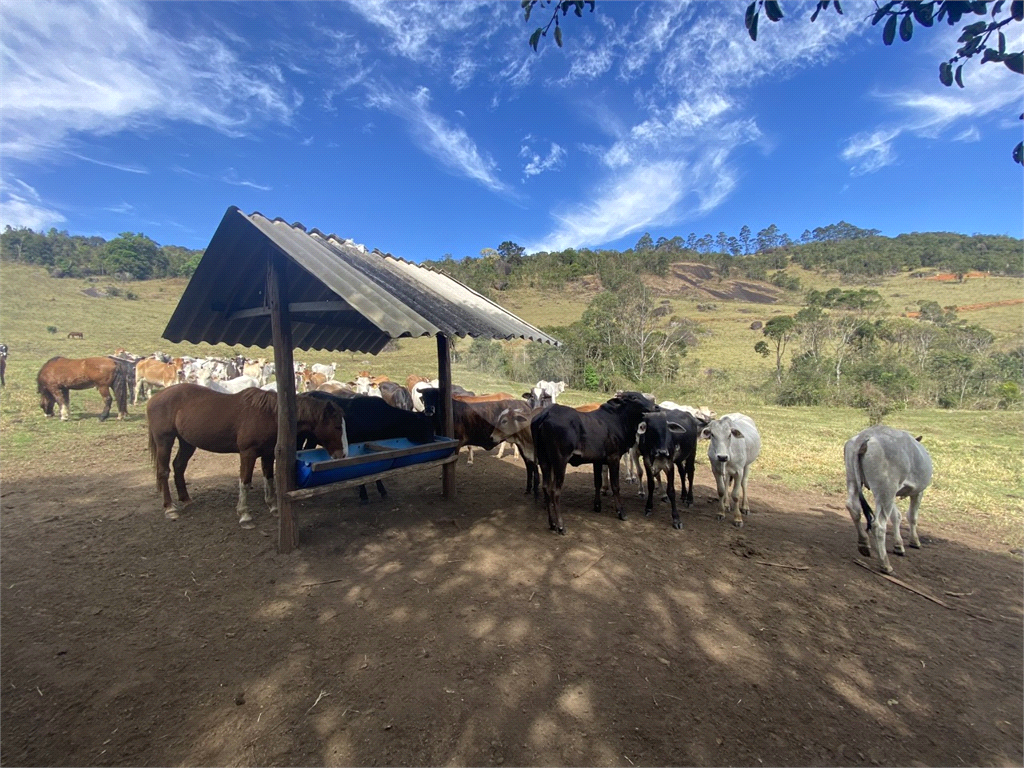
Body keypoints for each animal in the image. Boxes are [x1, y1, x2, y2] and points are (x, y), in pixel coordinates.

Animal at [143, 385, 352, 528]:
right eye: (337, 427)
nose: (343, 454)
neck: (269, 415)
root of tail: (155, 398)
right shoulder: (247, 453)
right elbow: (245, 481)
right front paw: (244, 515)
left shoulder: (268, 453)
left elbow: (269, 478)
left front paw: (273, 507)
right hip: (164, 440)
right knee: (164, 471)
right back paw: (170, 508)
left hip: (187, 442)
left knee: (178, 466)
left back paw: (185, 499)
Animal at [532, 391, 651, 536]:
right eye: (634, 397)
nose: (655, 406)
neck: (618, 419)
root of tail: (546, 413)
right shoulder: (613, 458)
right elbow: (615, 486)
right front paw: (621, 512)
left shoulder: (597, 461)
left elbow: (597, 483)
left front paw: (597, 505)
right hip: (560, 461)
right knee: (555, 491)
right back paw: (560, 526)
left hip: (544, 461)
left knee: (545, 487)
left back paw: (552, 523)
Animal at [843, 423, 933, 573]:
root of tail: (865, 436)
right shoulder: (918, 491)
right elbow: (912, 517)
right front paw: (914, 541)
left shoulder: (894, 492)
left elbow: (896, 516)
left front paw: (898, 545)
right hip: (886, 488)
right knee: (878, 525)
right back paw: (885, 564)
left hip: (855, 479)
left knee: (853, 507)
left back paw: (864, 543)